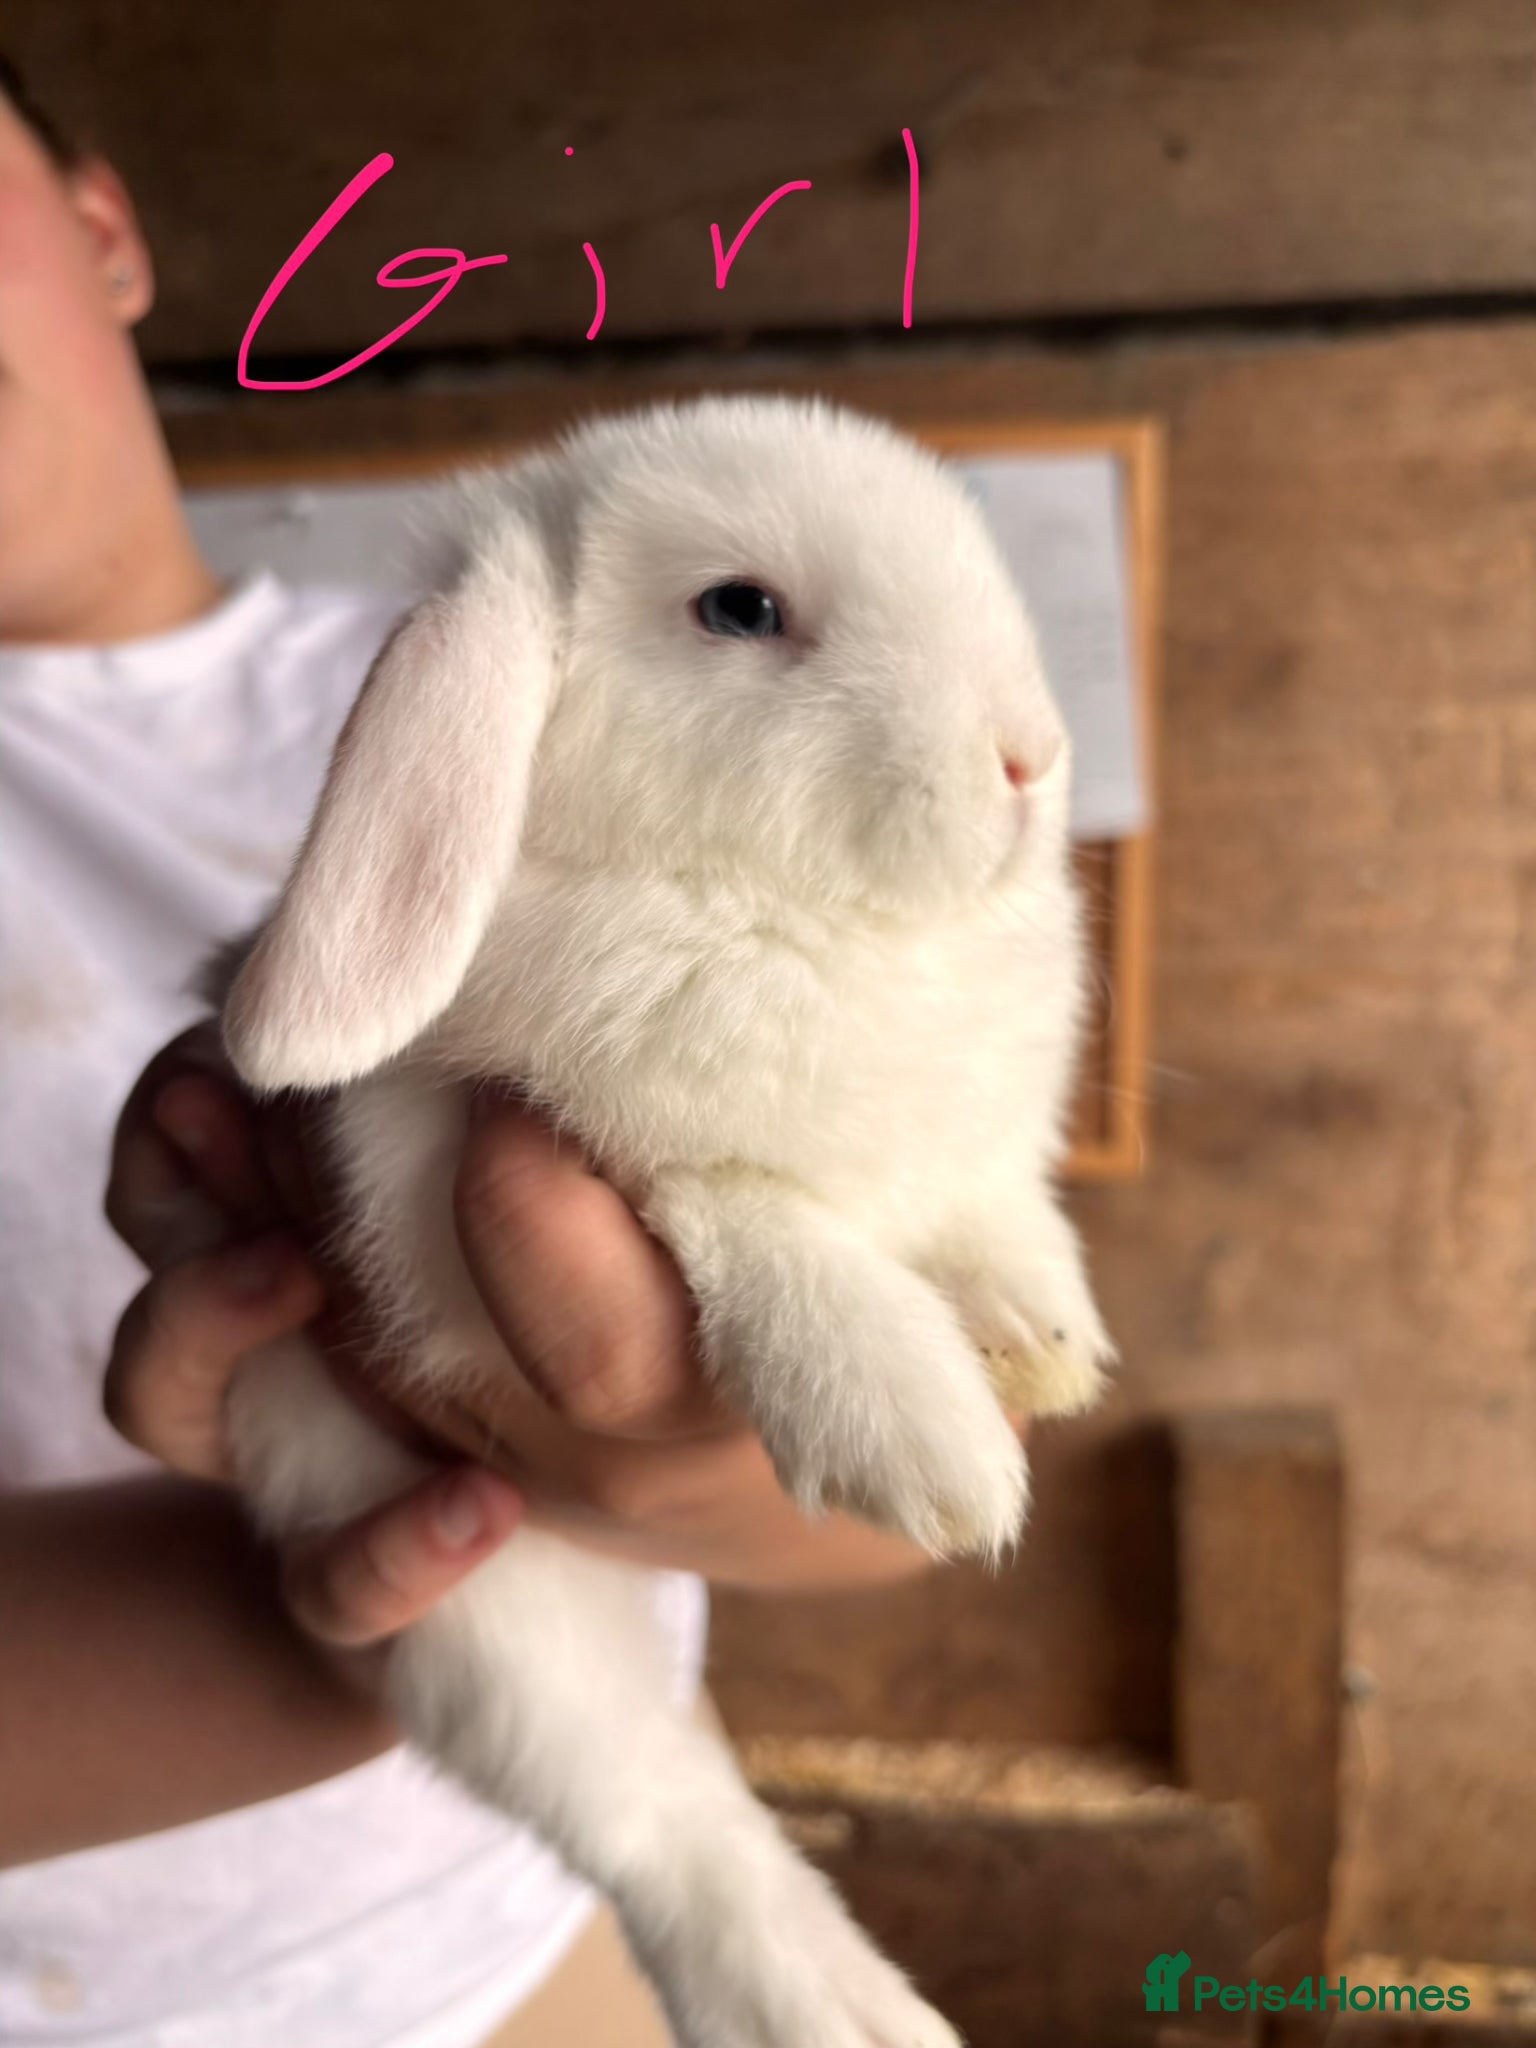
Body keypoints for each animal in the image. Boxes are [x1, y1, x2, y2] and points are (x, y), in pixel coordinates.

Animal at [208, 393, 1114, 2048]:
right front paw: (924, 1438)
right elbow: (747, 1207)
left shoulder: (957, 1151)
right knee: (664, 1822)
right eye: (741, 610)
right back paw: (834, 2011)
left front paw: (1043, 1333)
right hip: (489, 1616)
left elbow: (980, 1204)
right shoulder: (497, 1152)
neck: (775, 915)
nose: (1032, 759)